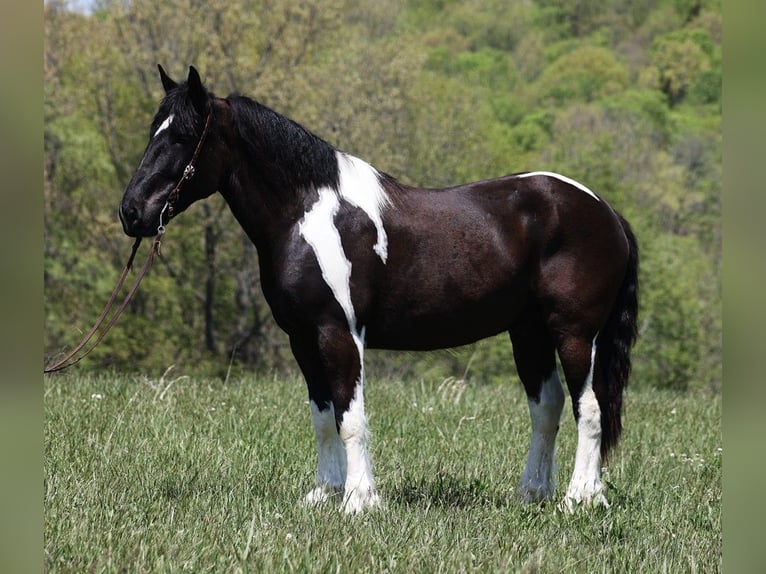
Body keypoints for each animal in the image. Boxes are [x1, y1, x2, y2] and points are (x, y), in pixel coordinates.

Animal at [118, 65, 636, 516]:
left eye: (182, 137)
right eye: (152, 130)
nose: (131, 212)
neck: (308, 214)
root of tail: (604, 209)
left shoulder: (338, 333)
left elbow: (351, 419)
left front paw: (358, 501)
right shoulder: (302, 339)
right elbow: (323, 417)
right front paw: (324, 493)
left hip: (574, 332)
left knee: (589, 408)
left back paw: (579, 499)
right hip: (528, 332)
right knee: (546, 407)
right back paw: (533, 494)